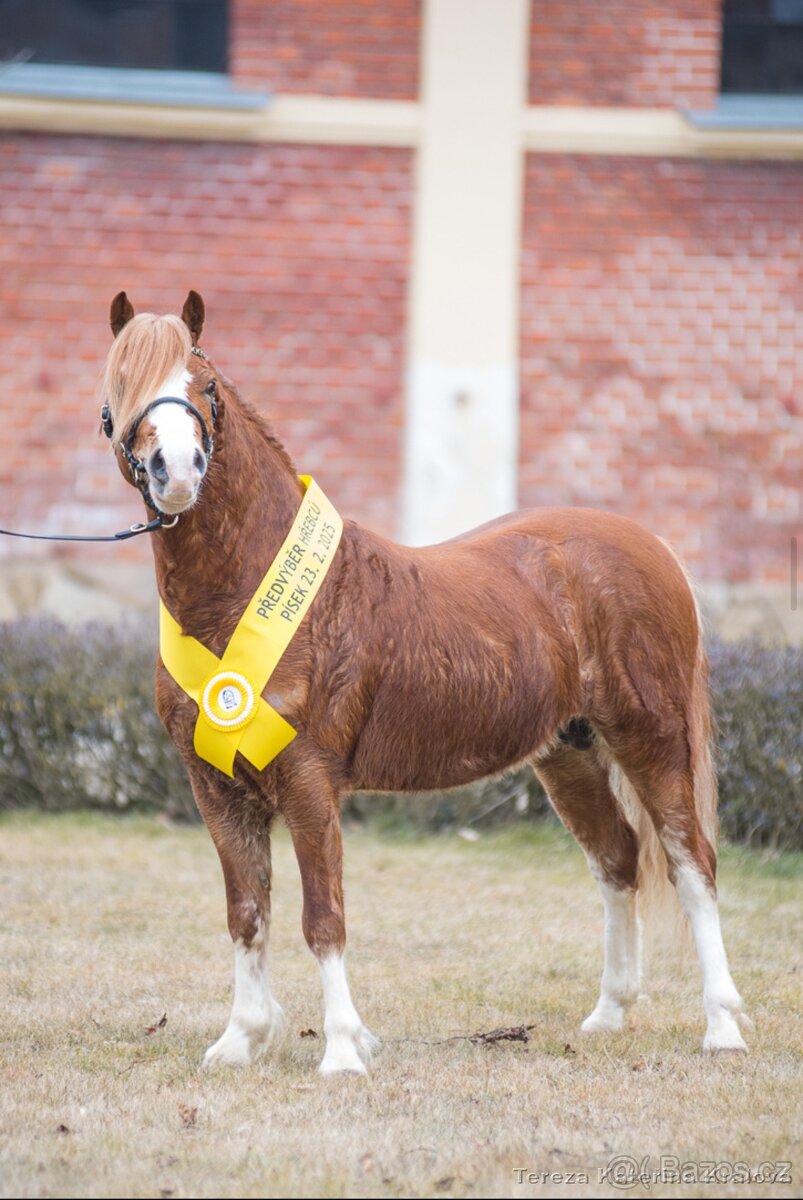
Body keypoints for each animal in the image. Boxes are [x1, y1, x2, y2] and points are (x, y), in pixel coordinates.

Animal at [102, 288, 753, 1070]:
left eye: (206, 387)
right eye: (122, 389)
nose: (175, 468)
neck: (239, 595)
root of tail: (652, 545)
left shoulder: (309, 780)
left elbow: (322, 917)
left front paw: (342, 1050)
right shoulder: (218, 790)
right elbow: (247, 914)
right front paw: (240, 1039)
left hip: (650, 739)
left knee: (692, 864)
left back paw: (721, 1027)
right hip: (568, 753)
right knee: (618, 858)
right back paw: (608, 1013)